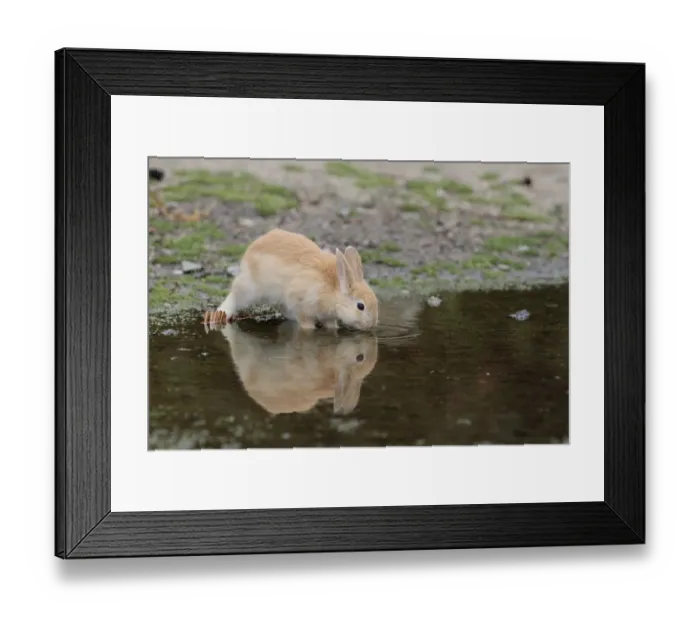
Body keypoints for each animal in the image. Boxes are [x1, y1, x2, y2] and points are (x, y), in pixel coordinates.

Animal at [204, 228, 379, 332]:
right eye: (360, 306)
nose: (371, 324)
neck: (333, 290)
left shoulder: (328, 317)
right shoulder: (302, 303)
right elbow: (307, 324)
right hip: (250, 289)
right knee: (234, 297)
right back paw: (218, 315)